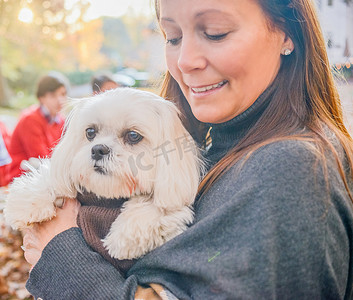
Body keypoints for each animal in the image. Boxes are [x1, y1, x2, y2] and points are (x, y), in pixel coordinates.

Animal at [4, 88, 201, 260]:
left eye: (133, 136)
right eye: (90, 132)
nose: (98, 149)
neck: (107, 197)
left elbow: (159, 205)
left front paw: (124, 237)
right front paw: (29, 203)